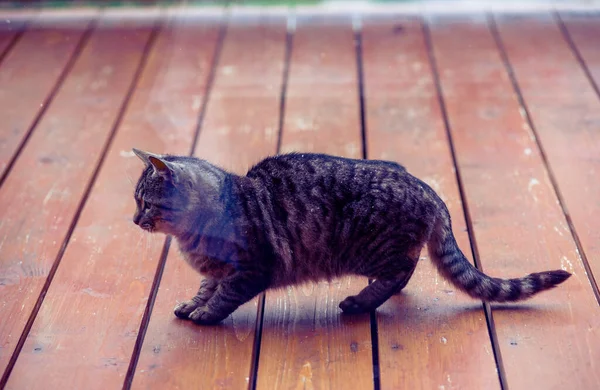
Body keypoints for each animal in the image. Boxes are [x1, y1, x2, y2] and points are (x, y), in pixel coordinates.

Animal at [132, 148, 572, 324]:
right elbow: (206, 287)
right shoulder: (217, 269)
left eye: (145, 203)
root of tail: (428, 190)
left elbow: (222, 297)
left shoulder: (251, 269)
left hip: (371, 250)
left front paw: (206, 314)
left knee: (403, 271)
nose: (134, 220)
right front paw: (193, 304)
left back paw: (361, 302)